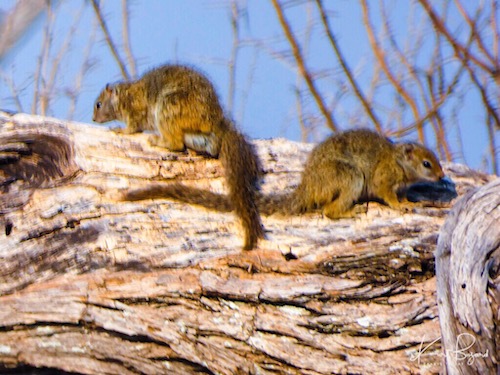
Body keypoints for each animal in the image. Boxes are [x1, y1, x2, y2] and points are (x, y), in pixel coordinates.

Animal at [94, 64, 266, 253]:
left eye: (99, 104)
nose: (93, 119)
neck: (124, 95)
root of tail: (215, 121)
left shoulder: (135, 111)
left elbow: (132, 128)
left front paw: (120, 130)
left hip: (169, 108)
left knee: (176, 144)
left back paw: (158, 141)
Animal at [120, 129, 446, 220]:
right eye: (426, 164)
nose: (442, 175)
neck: (399, 163)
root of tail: (308, 186)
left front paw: (409, 200)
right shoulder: (383, 178)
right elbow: (386, 193)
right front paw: (401, 205)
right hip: (349, 177)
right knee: (328, 211)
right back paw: (346, 212)